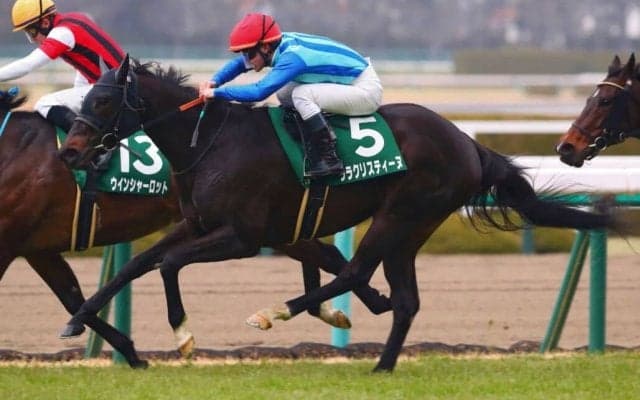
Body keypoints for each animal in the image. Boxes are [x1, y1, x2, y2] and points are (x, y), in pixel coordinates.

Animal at [0, 87, 391, 368]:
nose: (72, 153)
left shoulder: (12, 240)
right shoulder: (36, 247)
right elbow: (71, 296)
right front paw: (131, 352)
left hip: (261, 226)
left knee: (324, 252)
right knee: (322, 250)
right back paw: (347, 307)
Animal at [58, 55, 627, 372]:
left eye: (104, 101)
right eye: (86, 98)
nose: (71, 152)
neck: (210, 141)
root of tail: (468, 142)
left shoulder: (242, 235)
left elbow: (171, 265)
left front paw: (184, 335)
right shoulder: (197, 222)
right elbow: (139, 264)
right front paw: (78, 320)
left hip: (402, 214)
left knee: (358, 271)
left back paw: (276, 311)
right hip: (410, 228)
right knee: (403, 298)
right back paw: (381, 365)